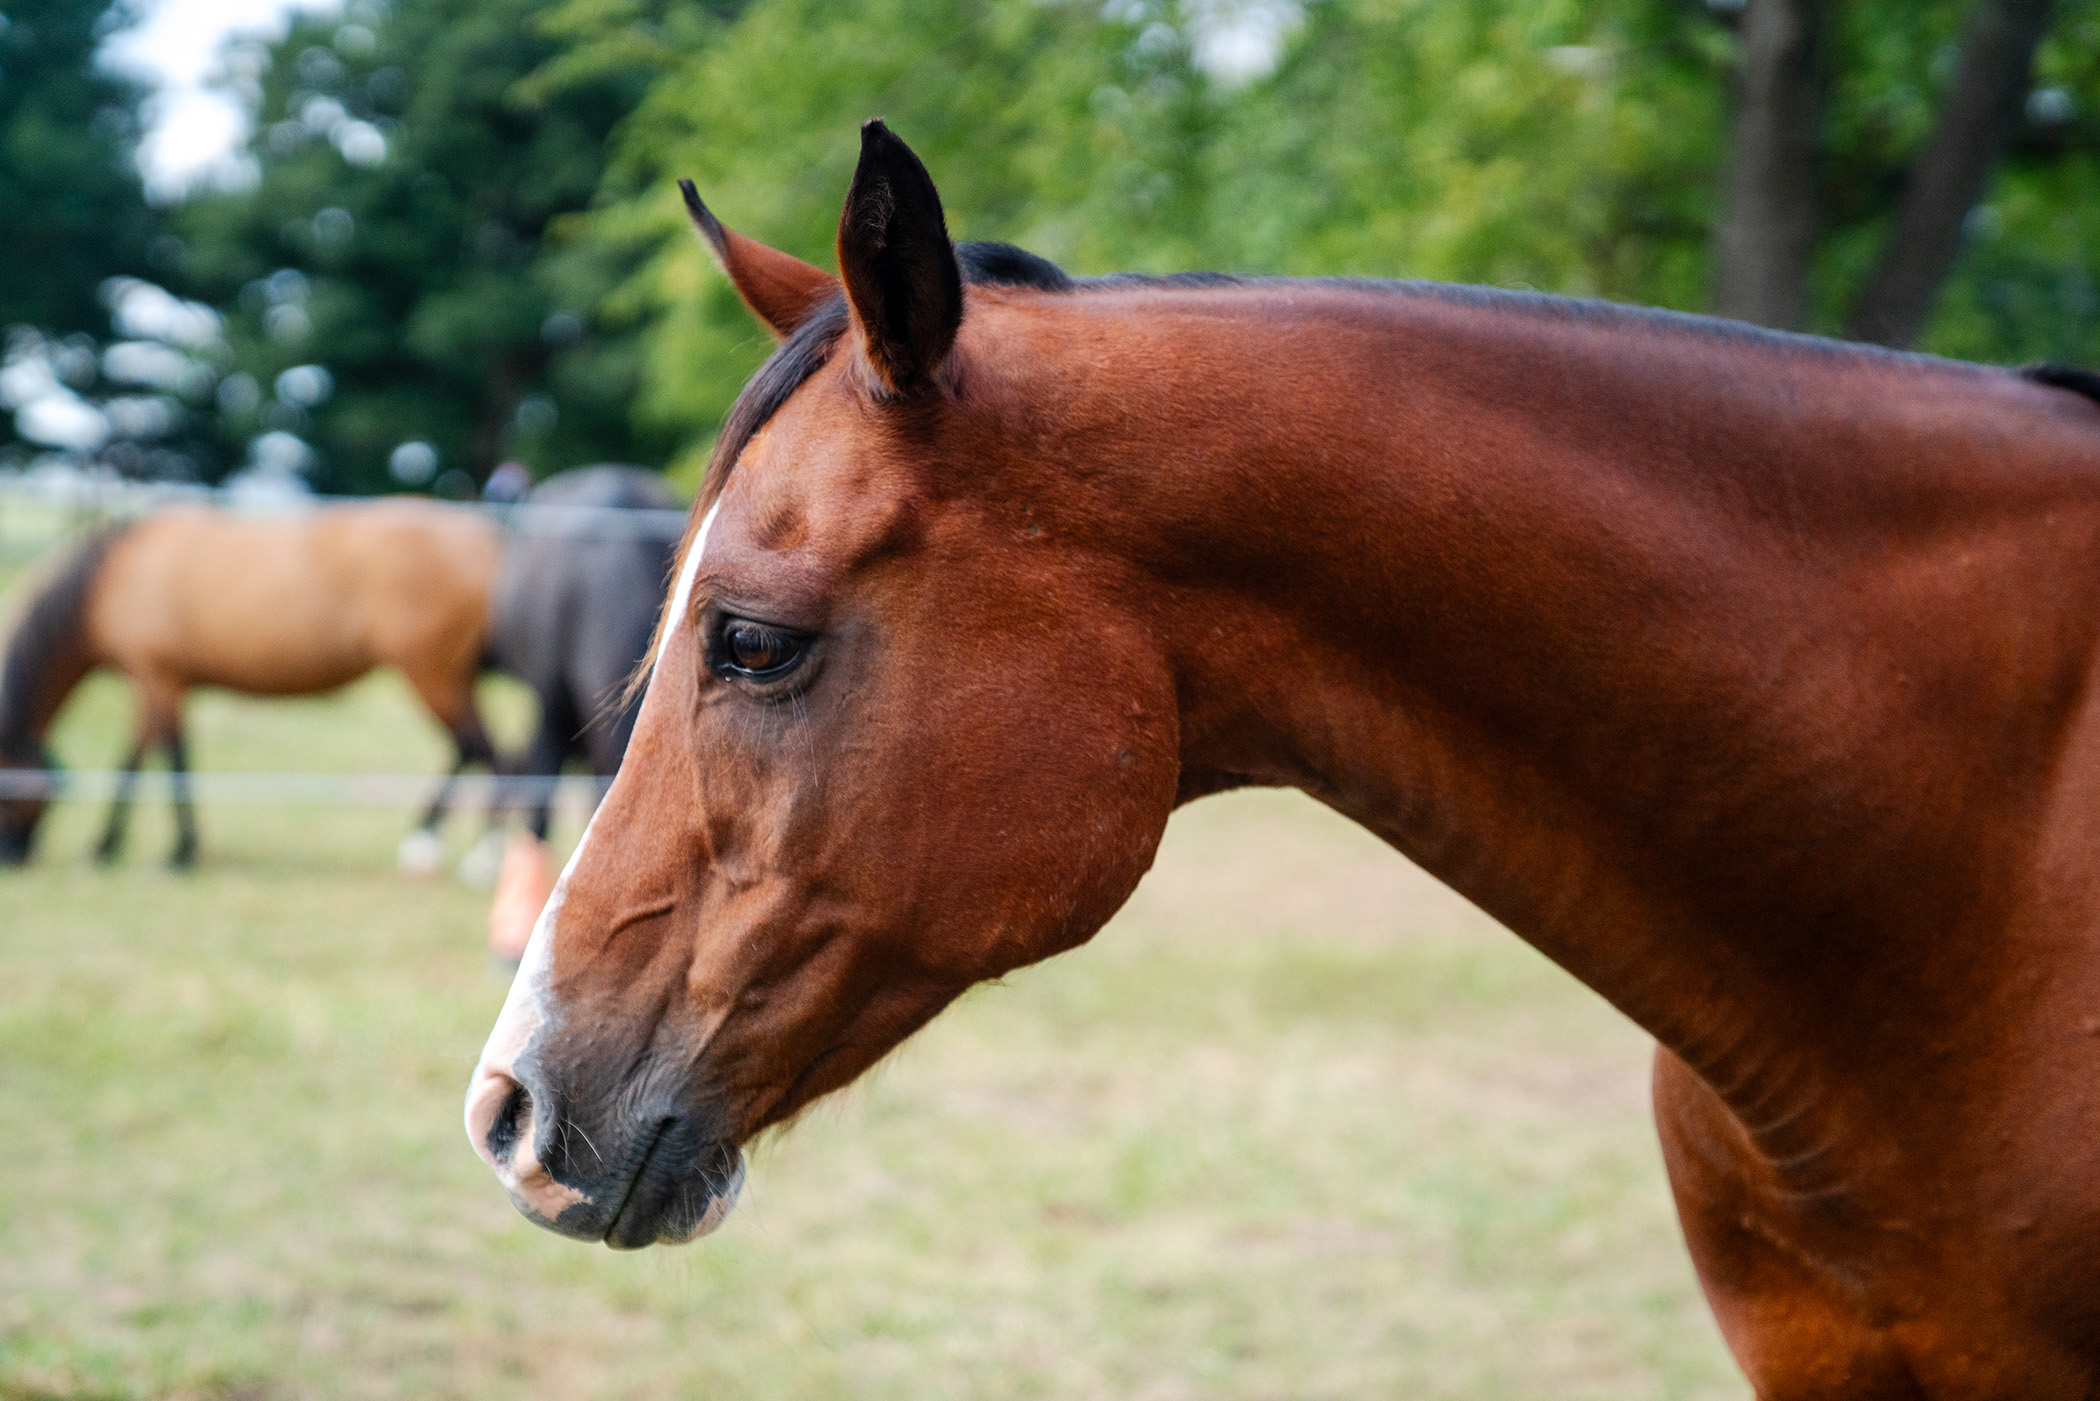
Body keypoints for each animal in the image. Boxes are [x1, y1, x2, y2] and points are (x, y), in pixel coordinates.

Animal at [0, 498, 502, 866]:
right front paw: (105, 847)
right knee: (477, 749)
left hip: (428, 672)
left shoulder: (159, 676)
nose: (13, 858)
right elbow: (135, 760)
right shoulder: (152, 682)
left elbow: (173, 758)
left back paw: (462, 851)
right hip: (450, 676)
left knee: (478, 747)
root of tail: (484, 541)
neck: (113, 577)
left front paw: (180, 853)